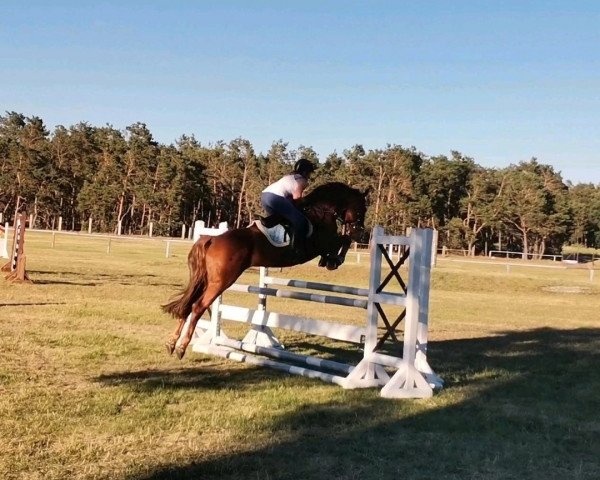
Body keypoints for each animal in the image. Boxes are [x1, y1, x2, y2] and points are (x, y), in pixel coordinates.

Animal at [165, 182, 370, 358]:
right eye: (362, 209)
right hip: (221, 282)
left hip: (205, 280)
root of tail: (211, 238)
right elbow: (344, 240)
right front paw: (334, 260)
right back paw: (182, 347)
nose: (361, 233)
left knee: (188, 305)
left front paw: (330, 260)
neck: (321, 212)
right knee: (197, 306)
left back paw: (171, 343)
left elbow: (343, 241)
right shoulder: (321, 243)